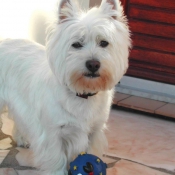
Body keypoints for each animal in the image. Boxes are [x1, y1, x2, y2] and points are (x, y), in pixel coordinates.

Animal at [0, 0, 130, 174]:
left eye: (104, 43)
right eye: (76, 44)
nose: (93, 64)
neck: (81, 93)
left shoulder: (94, 132)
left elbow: (91, 152)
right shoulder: (53, 134)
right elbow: (57, 161)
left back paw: (22, 139)